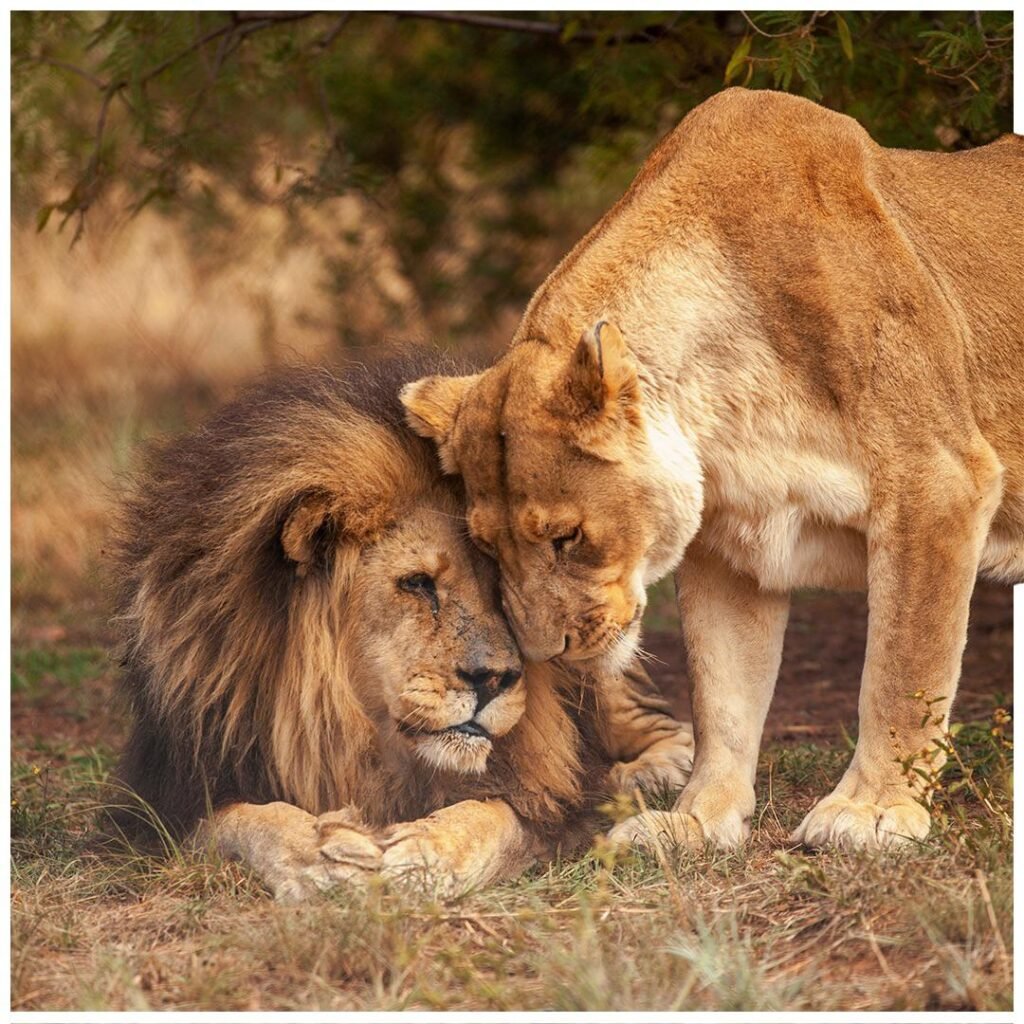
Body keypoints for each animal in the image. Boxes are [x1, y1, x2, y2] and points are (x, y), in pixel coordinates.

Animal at [108, 355, 694, 900]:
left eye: (503, 589)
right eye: (417, 584)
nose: (493, 680)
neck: (363, 735)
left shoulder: (554, 800)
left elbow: (497, 815)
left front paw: (424, 855)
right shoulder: (163, 799)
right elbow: (242, 819)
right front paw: (319, 853)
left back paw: (646, 776)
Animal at [400, 88, 1023, 853]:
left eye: (566, 538)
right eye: (487, 548)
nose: (552, 656)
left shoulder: (935, 479)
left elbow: (903, 665)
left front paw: (872, 810)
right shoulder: (732, 545)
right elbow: (723, 694)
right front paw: (697, 821)